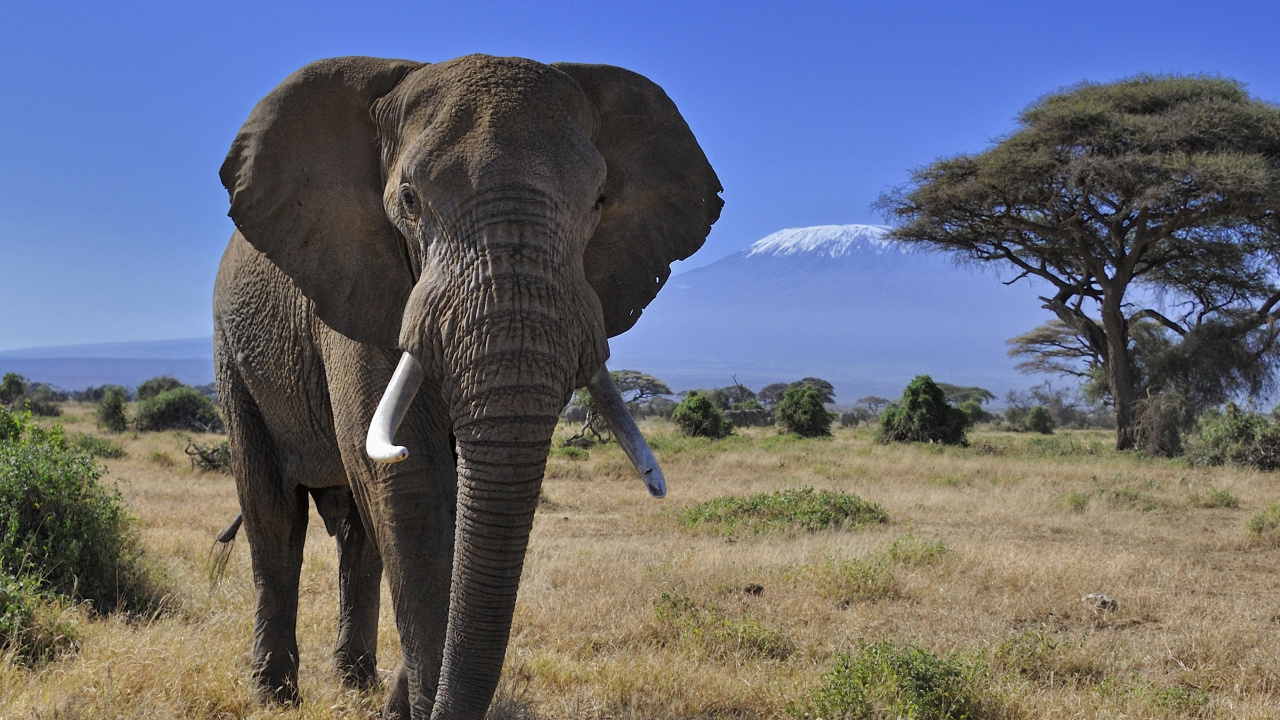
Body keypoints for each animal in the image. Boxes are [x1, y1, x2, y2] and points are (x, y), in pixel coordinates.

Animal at [212, 54, 721, 720]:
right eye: (408, 199)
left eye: (599, 201)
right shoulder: (355, 279)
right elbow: (412, 479)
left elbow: (449, 496)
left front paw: (400, 705)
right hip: (232, 351)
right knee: (273, 514)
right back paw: (274, 695)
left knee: (357, 535)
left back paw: (356, 685)